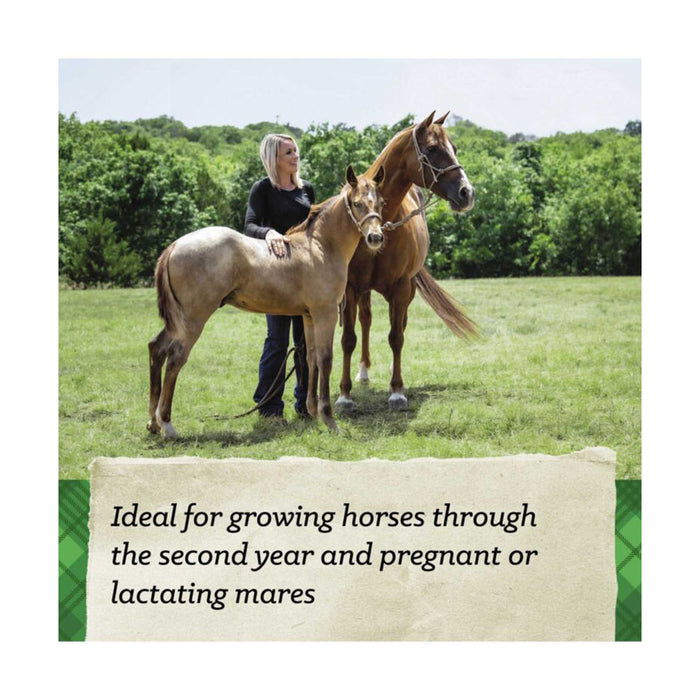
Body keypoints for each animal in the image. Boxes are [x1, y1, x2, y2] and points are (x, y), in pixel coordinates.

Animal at [148, 165, 386, 438]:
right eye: (357, 204)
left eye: (380, 202)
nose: (375, 238)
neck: (320, 247)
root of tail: (175, 245)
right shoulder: (325, 313)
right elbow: (325, 359)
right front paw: (329, 419)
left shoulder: (308, 317)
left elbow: (311, 358)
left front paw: (312, 411)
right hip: (192, 320)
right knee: (175, 359)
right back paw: (167, 424)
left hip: (178, 321)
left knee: (156, 348)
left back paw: (153, 422)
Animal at [336, 111, 477, 412]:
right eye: (433, 149)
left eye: (454, 148)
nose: (467, 193)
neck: (380, 224)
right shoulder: (350, 288)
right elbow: (348, 338)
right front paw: (344, 395)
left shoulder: (401, 288)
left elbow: (396, 337)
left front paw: (397, 391)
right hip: (364, 292)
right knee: (366, 320)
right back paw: (363, 371)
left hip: (407, 290)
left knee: (397, 325)